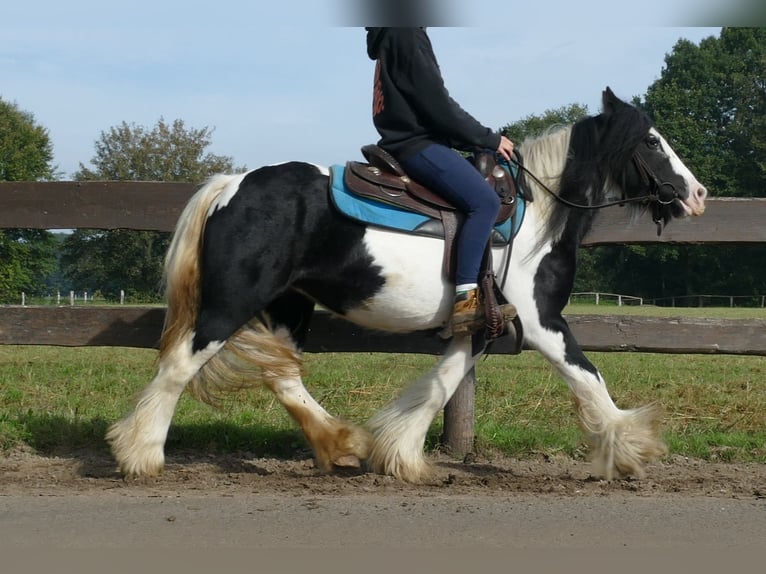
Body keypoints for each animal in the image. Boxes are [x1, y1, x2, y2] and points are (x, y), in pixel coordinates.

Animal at [106, 89, 708, 486]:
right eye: (652, 141)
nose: (697, 194)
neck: (537, 214)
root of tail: (233, 185)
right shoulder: (542, 321)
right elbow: (588, 378)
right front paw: (630, 449)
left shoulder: (484, 325)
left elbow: (442, 383)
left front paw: (400, 454)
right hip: (230, 304)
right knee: (179, 366)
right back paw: (141, 455)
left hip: (288, 304)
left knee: (283, 375)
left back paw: (341, 446)